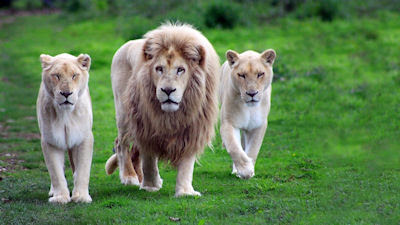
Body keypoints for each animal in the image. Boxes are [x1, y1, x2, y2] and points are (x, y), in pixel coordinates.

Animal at [37, 53, 94, 204]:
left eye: (74, 75)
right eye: (56, 75)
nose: (66, 93)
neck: (65, 114)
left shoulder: (84, 138)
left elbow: (83, 169)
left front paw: (81, 197)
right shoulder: (50, 141)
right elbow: (56, 172)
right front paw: (60, 197)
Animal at [104, 23, 219, 197]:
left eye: (180, 69)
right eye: (159, 68)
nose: (167, 90)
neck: (172, 115)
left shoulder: (193, 130)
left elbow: (186, 165)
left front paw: (185, 192)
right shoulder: (146, 128)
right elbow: (149, 160)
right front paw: (150, 186)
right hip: (124, 114)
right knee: (121, 145)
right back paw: (130, 177)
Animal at [219, 48, 276, 179]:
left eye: (260, 74)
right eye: (241, 75)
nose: (252, 93)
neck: (249, 108)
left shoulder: (258, 125)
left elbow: (253, 149)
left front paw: (249, 170)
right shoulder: (228, 123)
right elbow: (234, 147)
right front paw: (245, 170)